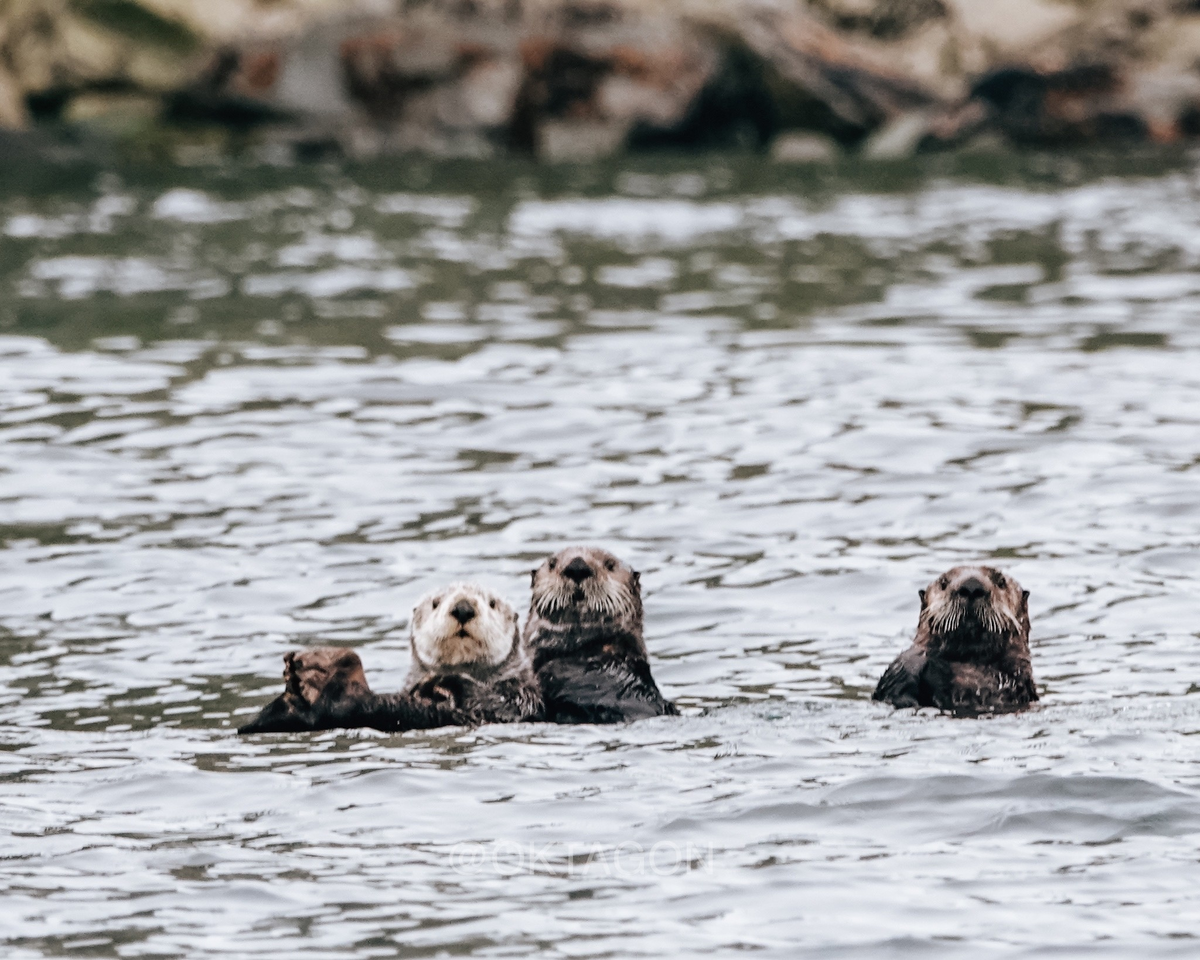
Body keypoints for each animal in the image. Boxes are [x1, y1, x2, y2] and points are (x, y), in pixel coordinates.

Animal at [237, 585, 544, 734]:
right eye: (436, 603)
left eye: (492, 603)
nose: (463, 607)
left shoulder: (521, 694)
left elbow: (497, 704)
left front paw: (443, 684)